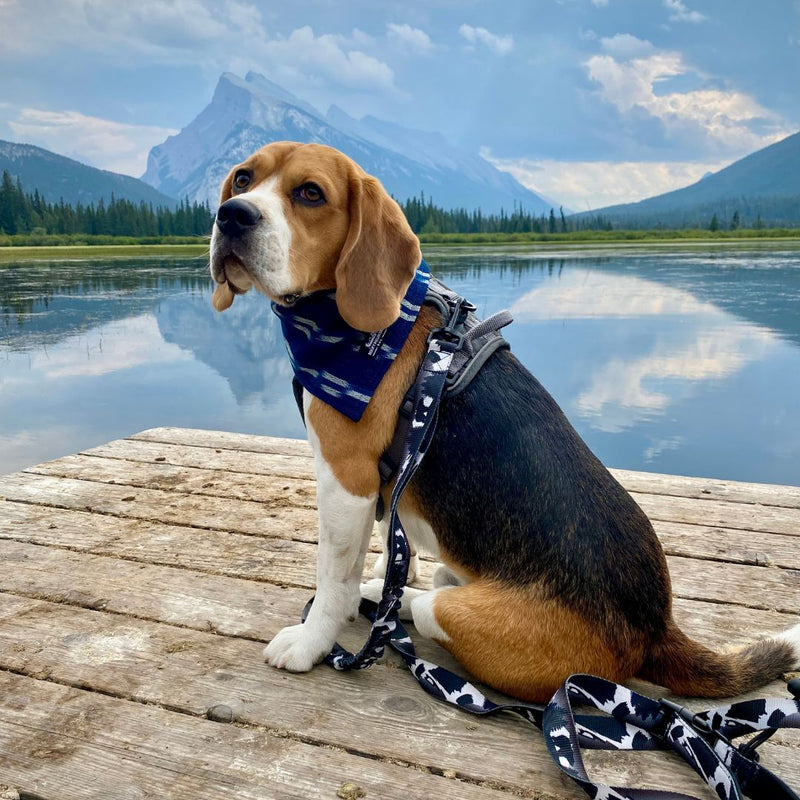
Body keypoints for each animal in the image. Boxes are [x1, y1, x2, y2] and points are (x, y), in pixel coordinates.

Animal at [211, 142, 800, 700]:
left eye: (310, 193)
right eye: (243, 178)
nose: (232, 215)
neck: (340, 324)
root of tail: (654, 631)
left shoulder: (345, 478)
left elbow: (333, 577)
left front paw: (312, 641)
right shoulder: (379, 481)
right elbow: (389, 538)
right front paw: (384, 575)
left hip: (459, 616)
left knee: (428, 606)